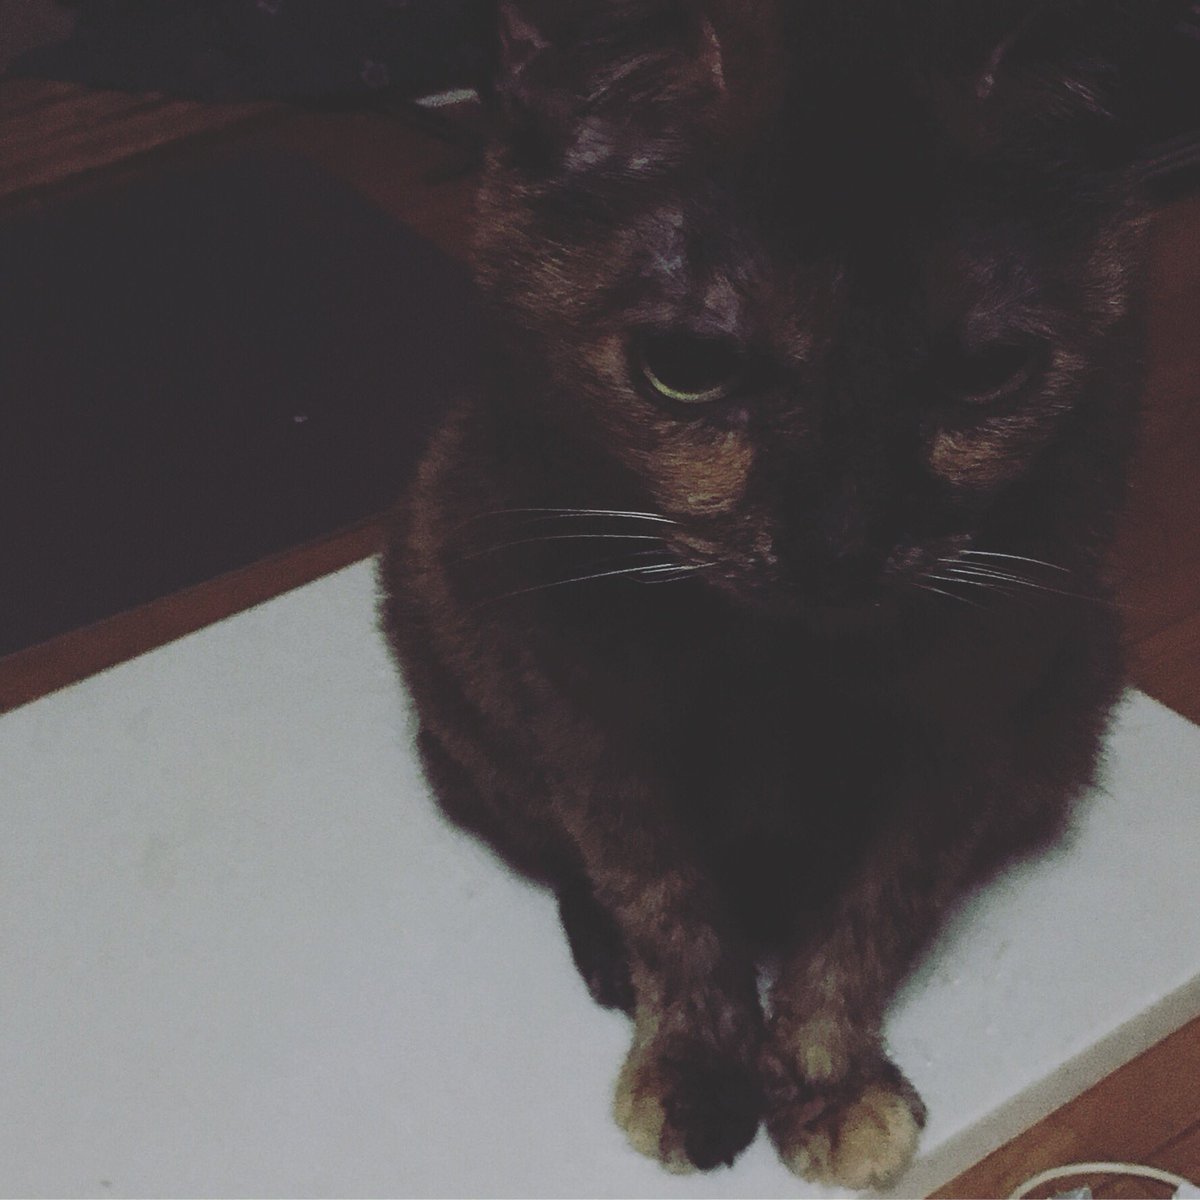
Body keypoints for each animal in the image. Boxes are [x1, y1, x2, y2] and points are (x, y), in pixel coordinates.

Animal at [380, 0, 1161, 1188]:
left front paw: (830, 1085)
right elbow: (662, 898)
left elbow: (872, 917)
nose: (842, 544)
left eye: (987, 376)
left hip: (1077, 695)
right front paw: (695, 1070)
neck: (780, 672)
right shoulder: (587, 714)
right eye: (684, 366)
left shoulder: (970, 725)